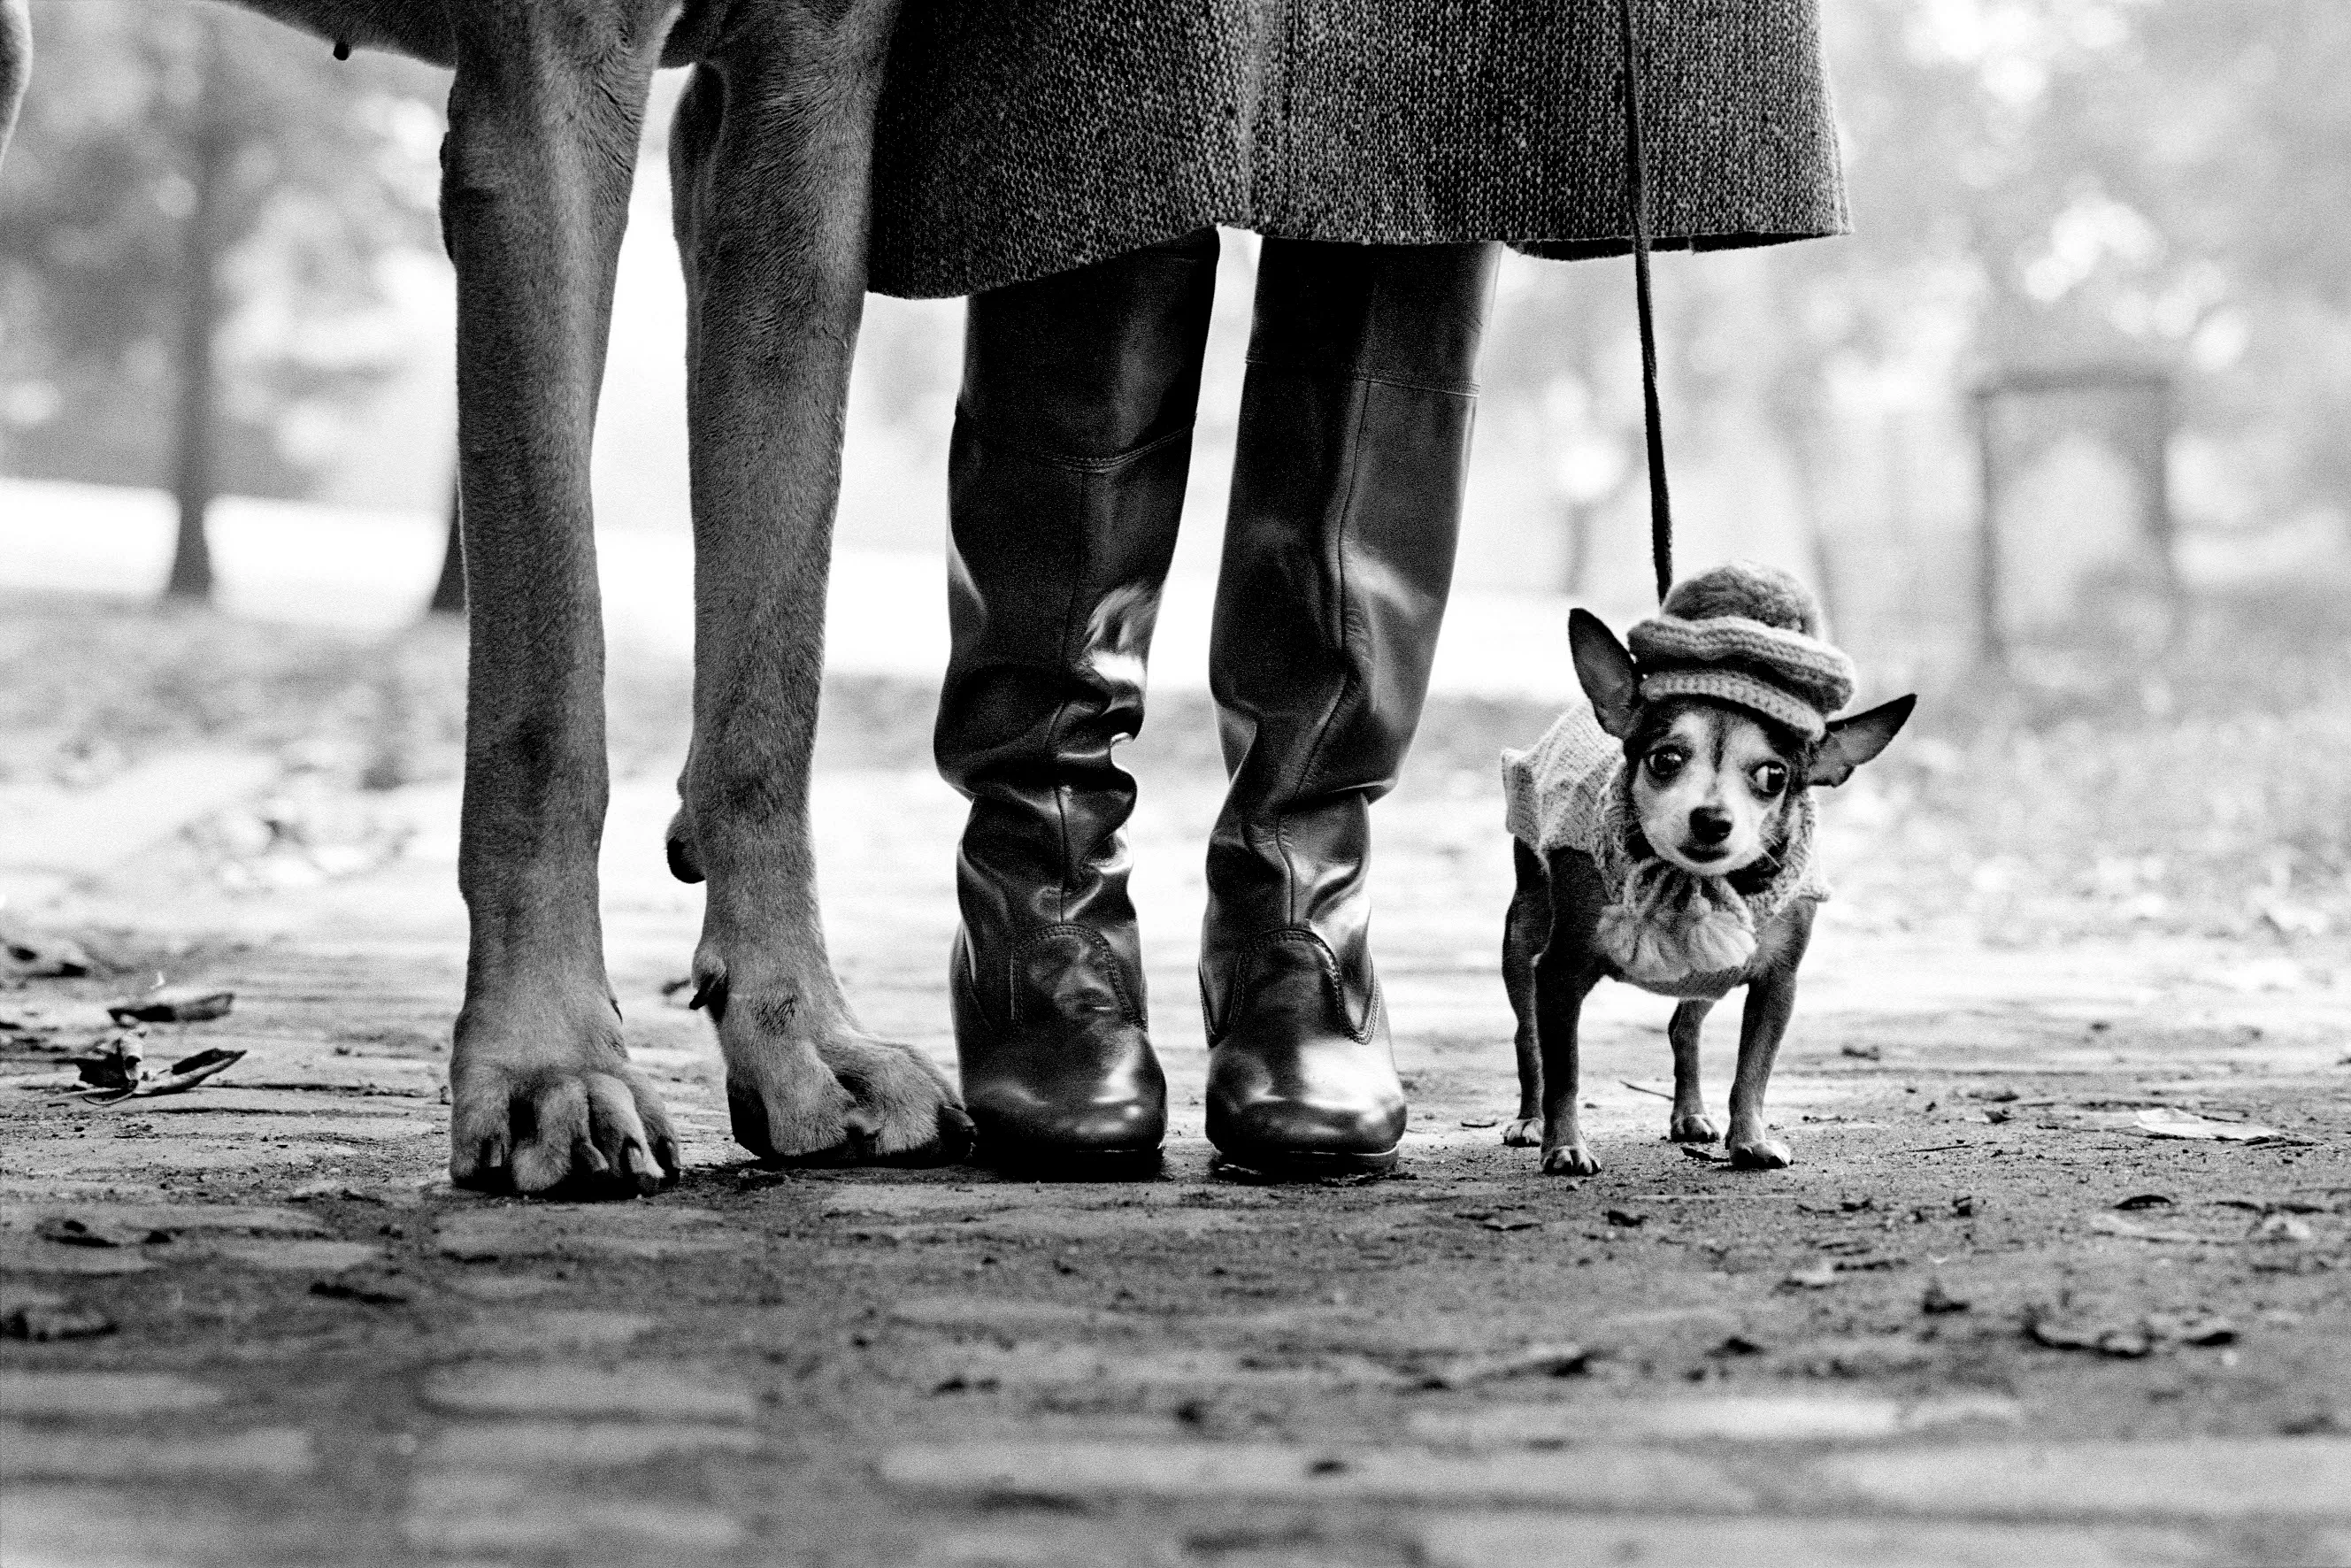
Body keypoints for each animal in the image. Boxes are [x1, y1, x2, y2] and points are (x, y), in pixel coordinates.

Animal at [1504, 571, 1909, 1171]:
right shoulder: (1559, 973)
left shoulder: (1775, 985)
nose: (1713, 819)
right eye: (1665, 760)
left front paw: (1751, 1140)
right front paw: (1567, 1144)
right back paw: (1531, 1121)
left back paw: (1690, 1114)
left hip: (1709, 977)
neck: (1692, 882)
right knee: (1528, 1038)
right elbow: (1566, 1074)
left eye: (1774, 776)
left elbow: (1753, 1073)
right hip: (1522, 939)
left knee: (1683, 1028)